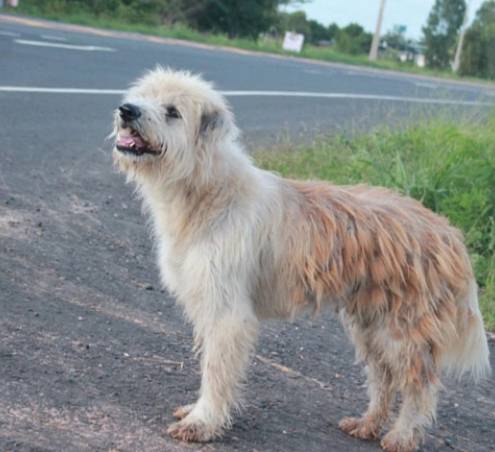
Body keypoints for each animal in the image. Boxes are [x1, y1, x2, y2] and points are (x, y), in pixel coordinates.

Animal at [113, 68, 492, 452]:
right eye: (144, 95)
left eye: (173, 111)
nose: (126, 110)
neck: (208, 190)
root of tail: (449, 233)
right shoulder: (209, 303)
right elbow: (210, 363)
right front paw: (197, 411)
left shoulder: (228, 314)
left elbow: (216, 370)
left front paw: (202, 422)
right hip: (371, 326)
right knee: (383, 378)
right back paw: (367, 423)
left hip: (402, 332)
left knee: (419, 387)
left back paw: (402, 435)